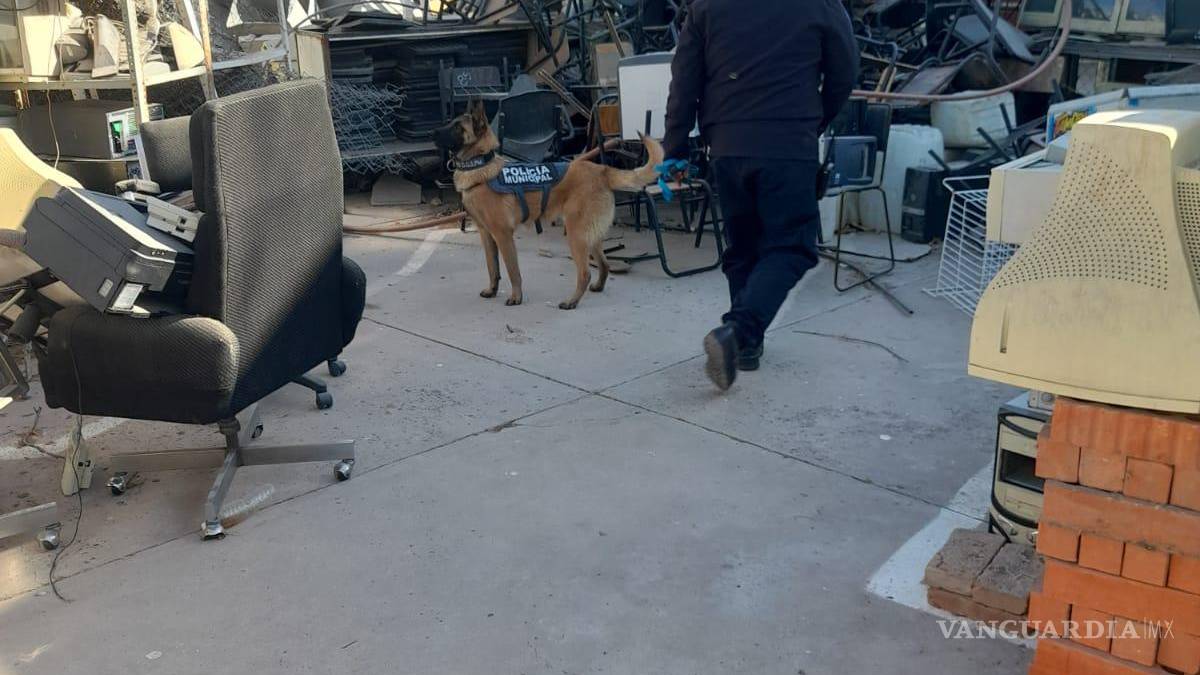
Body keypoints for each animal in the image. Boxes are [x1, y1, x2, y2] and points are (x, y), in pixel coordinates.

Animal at [433, 99, 663, 310]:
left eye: (457, 127)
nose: (433, 133)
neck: (480, 165)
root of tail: (602, 171)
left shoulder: (503, 235)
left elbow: (513, 271)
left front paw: (516, 297)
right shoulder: (486, 234)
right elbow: (493, 268)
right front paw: (492, 290)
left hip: (576, 234)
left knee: (585, 273)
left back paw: (571, 301)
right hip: (590, 234)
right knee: (604, 264)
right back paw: (598, 287)